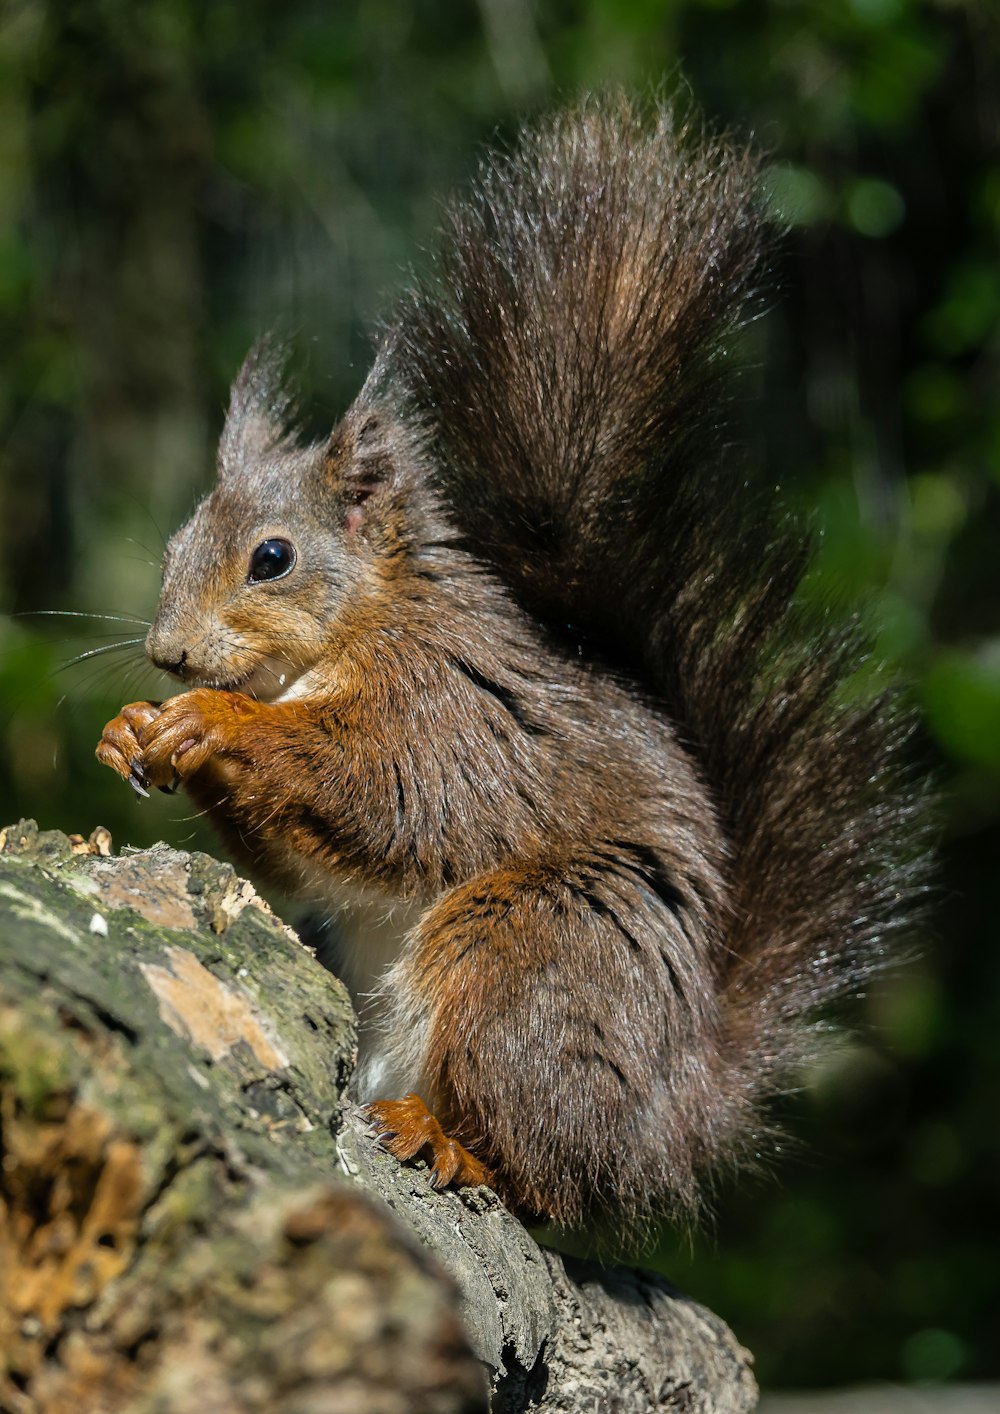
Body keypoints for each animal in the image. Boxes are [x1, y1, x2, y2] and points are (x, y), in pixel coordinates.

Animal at [97, 99, 927, 1233]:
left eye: (272, 558)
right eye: (179, 541)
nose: (167, 655)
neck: (360, 626)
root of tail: (668, 1118)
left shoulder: (448, 710)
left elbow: (391, 792)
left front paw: (219, 720)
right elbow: (294, 858)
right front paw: (134, 730)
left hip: (531, 956)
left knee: (545, 1168)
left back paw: (449, 1140)